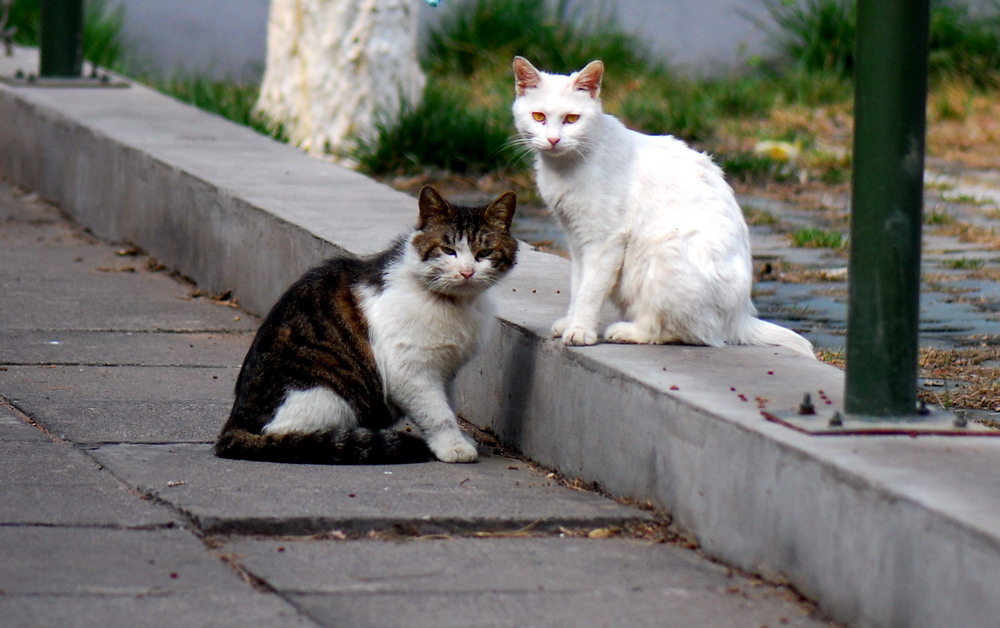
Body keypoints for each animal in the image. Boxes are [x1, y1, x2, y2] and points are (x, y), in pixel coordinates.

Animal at [215, 184, 520, 464]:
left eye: (484, 253)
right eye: (448, 250)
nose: (467, 272)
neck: (455, 304)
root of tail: (234, 423)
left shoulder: (446, 371)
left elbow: (448, 405)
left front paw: (459, 436)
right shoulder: (411, 371)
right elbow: (437, 413)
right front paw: (453, 446)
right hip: (329, 397)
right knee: (293, 437)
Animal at [512, 55, 816, 358]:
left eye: (572, 119)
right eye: (538, 117)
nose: (553, 139)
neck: (564, 167)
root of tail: (740, 315)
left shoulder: (604, 242)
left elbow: (590, 291)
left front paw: (581, 330)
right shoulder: (576, 239)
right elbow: (578, 285)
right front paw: (571, 322)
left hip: (668, 250)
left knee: (687, 333)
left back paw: (627, 332)